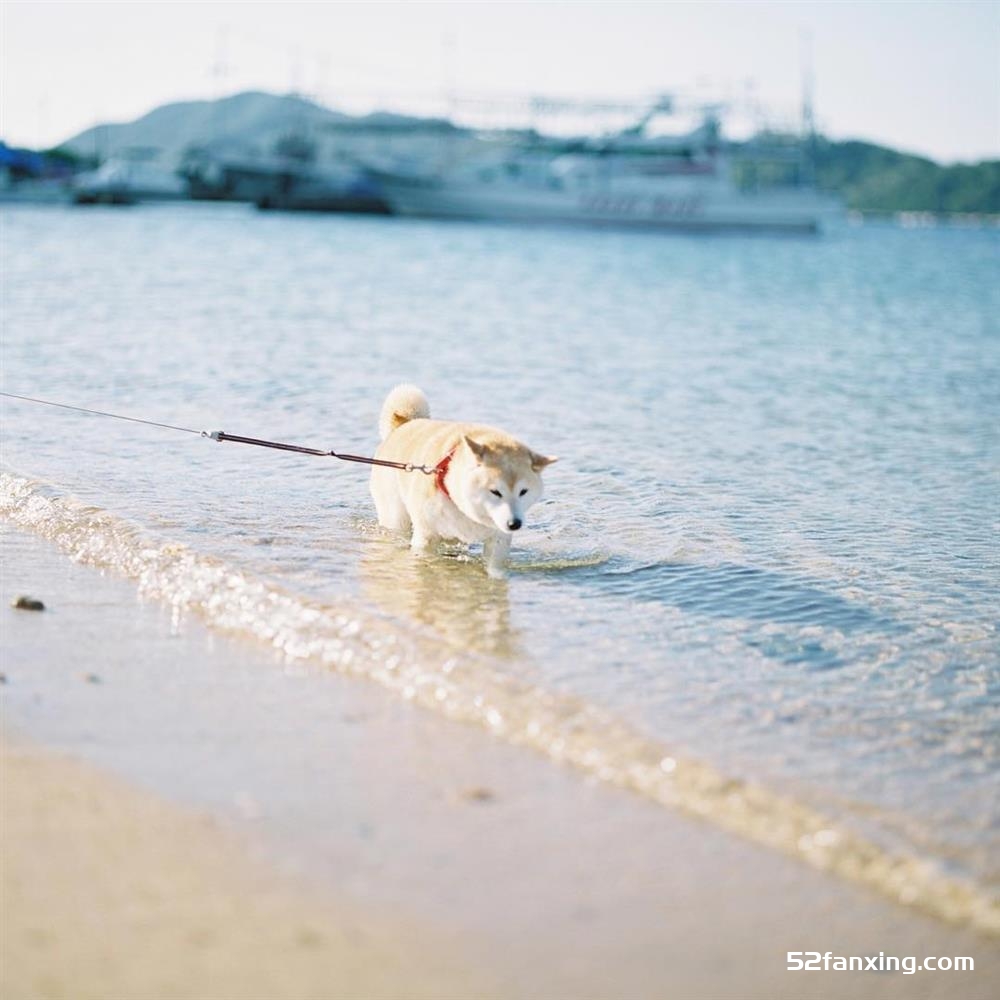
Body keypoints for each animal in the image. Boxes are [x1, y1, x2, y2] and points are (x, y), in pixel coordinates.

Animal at [370, 384, 556, 580]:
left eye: (523, 491)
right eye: (495, 491)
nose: (515, 524)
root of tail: (404, 425)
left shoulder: (498, 538)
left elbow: (495, 566)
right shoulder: (427, 535)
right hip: (396, 517)